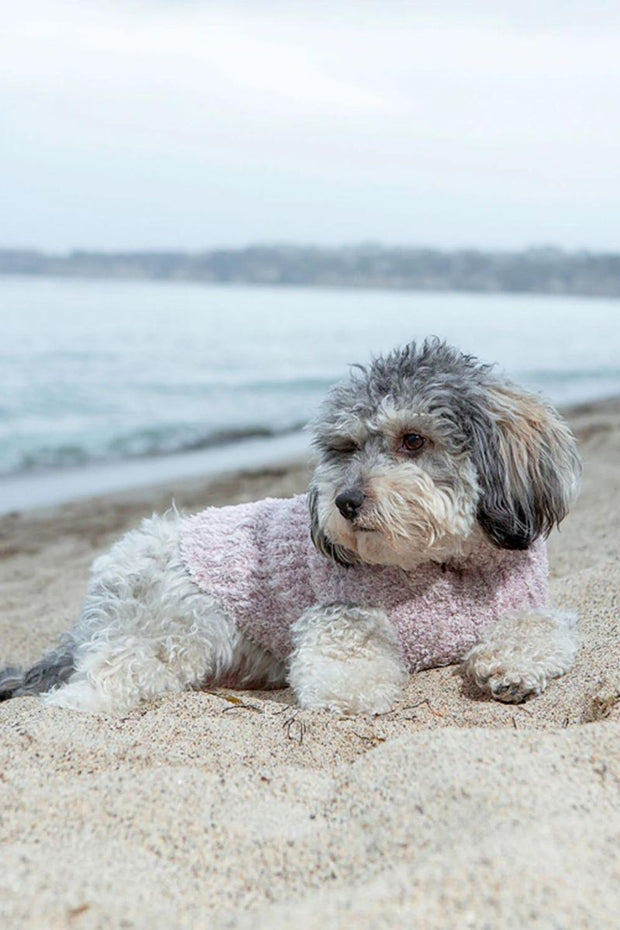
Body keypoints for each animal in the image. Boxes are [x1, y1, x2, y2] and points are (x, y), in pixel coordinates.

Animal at [0, 338, 580, 716]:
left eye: (413, 439)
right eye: (346, 447)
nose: (345, 501)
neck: (443, 566)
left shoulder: (524, 602)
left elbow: (537, 628)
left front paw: (511, 666)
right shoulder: (340, 612)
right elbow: (344, 661)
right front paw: (350, 691)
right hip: (166, 630)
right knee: (105, 675)